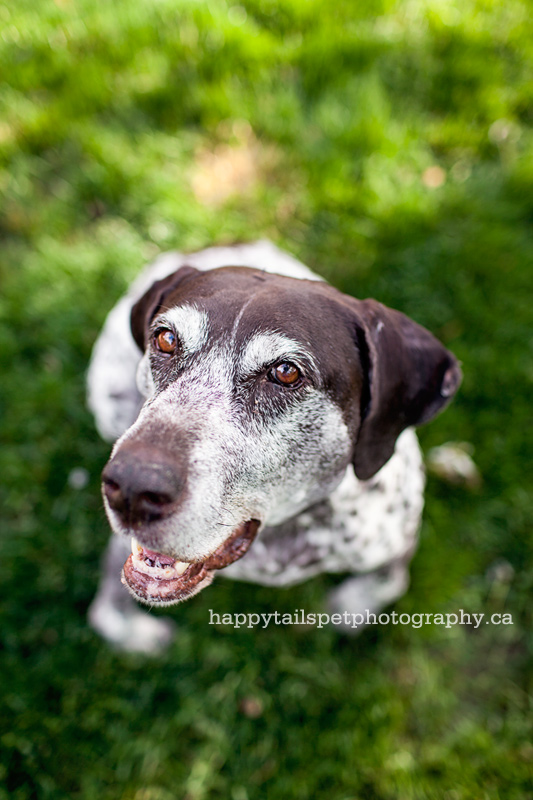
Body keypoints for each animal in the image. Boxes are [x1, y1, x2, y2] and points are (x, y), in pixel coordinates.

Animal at [87, 242, 462, 648]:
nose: (131, 487)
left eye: (285, 372)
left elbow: (390, 581)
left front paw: (348, 610)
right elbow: (108, 602)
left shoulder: (399, 538)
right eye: (166, 339)